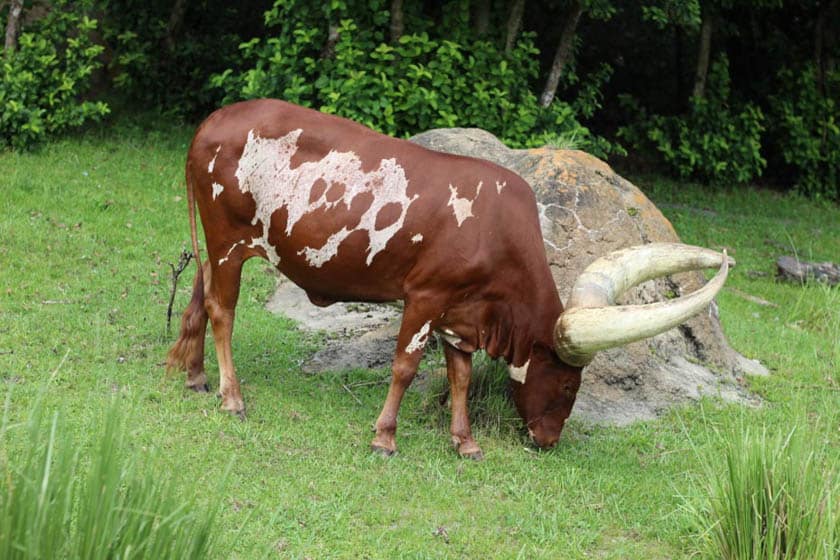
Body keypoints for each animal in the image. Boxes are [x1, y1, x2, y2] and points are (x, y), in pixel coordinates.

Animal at [167, 99, 732, 460]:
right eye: (569, 382)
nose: (547, 441)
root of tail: (212, 120)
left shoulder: (461, 317)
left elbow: (461, 376)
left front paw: (465, 442)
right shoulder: (424, 298)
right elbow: (404, 367)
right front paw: (385, 438)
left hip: (218, 248)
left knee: (199, 295)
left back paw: (195, 375)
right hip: (229, 242)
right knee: (222, 310)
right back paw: (231, 396)